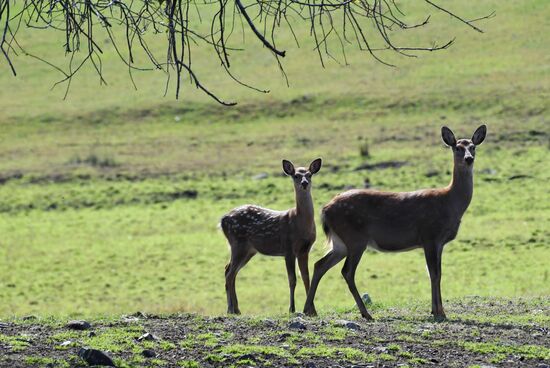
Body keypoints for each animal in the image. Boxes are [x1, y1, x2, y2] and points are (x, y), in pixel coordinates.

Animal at [221, 157, 324, 314]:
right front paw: (292, 308)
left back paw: (235, 309)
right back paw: (231, 309)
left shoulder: (305, 250)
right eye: (296, 176)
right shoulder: (288, 248)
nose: (304, 183)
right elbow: (292, 279)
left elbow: (306, 277)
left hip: (248, 250)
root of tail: (222, 220)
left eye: (309, 174)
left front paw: (312, 310)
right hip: (237, 243)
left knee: (229, 270)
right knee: (230, 274)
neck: (300, 222)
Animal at [304, 125, 490, 320]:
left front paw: (437, 310)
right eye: (457, 148)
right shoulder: (430, 235)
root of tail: (325, 209)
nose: (469, 159)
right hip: (355, 238)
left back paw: (309, 309)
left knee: (319, 264)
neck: (450, 203)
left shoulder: (439, 242)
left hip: (340, 242)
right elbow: (434, 274)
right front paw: (439, 312)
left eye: (473, 147)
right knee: (347, 271)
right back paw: (365, 313)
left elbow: (437, 273)